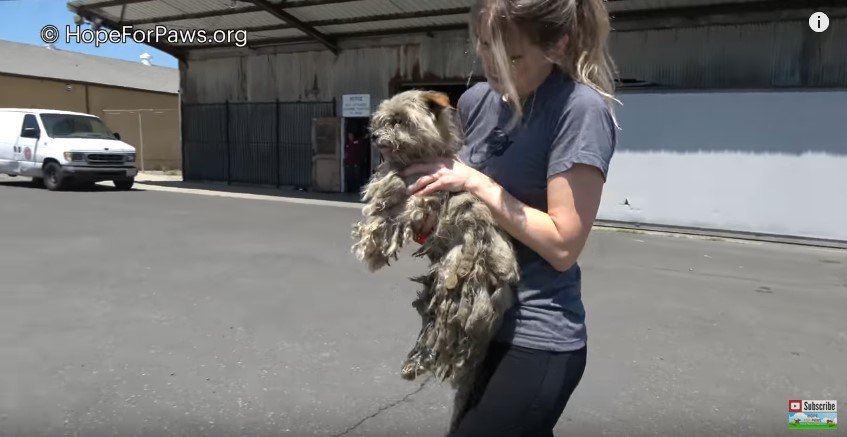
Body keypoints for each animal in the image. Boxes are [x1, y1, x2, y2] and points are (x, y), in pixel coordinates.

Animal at [350, 89, 520, 430]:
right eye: (381, 120)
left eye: (399, 120)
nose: (373, 135)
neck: (419, 157)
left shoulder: (420, 195)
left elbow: (390, 206)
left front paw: (372, 242)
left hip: (449, 299)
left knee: (437, 343)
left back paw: (414, 365)